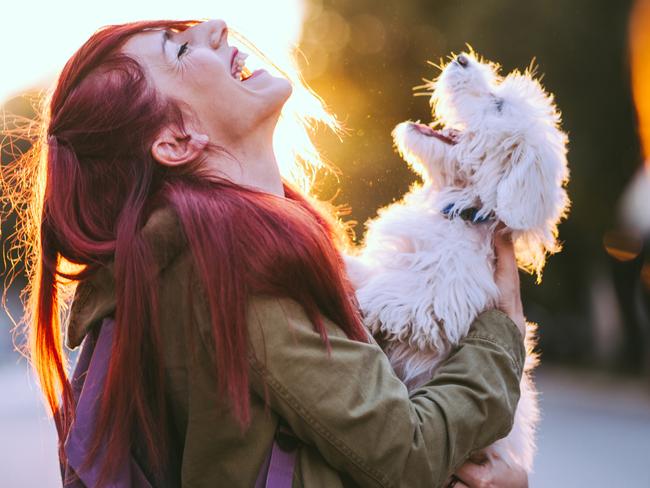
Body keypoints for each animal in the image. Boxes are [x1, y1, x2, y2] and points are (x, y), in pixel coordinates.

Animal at [344, 50, 568, 472]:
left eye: (498, 105)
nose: (462, 58)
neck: (459, 210)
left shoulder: (445, 299)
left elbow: (401, 295)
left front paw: (363, 300)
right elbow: (370, 269)